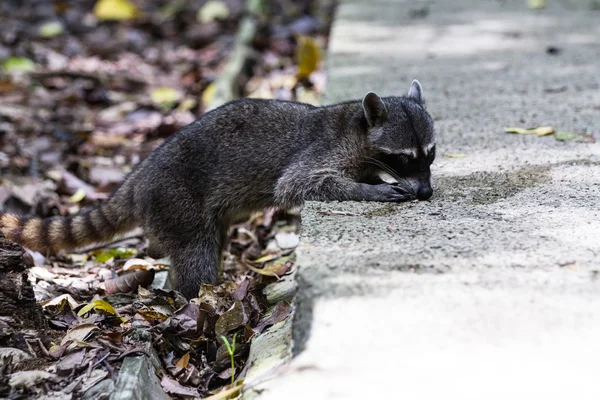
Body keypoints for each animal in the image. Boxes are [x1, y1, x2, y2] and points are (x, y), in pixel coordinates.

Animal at [0, 79, 436, 298]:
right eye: (405, 157)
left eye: (429, 153)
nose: (427, 193)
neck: (359, 129)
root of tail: (139, 176)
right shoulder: (323, 150)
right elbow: (296, 184)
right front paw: (371, 189)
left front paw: (373, 181)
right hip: (174, 200)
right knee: (197, 253)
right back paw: (198, 295)